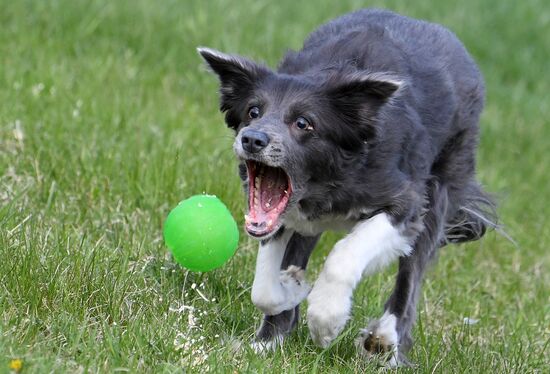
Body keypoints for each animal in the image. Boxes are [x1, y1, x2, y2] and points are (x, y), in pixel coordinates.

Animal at [197, 8, 496, 366]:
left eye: (303, 123)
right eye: (253, 111)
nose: (252, 139)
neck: (330, 178)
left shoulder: (405, 205)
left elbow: (345, 254)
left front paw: (326, 319)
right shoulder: (282, 217)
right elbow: (265, 287)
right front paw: (291, 292)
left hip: (440, 189)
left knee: (410, 277)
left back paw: (386, 340)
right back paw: (272, 337)